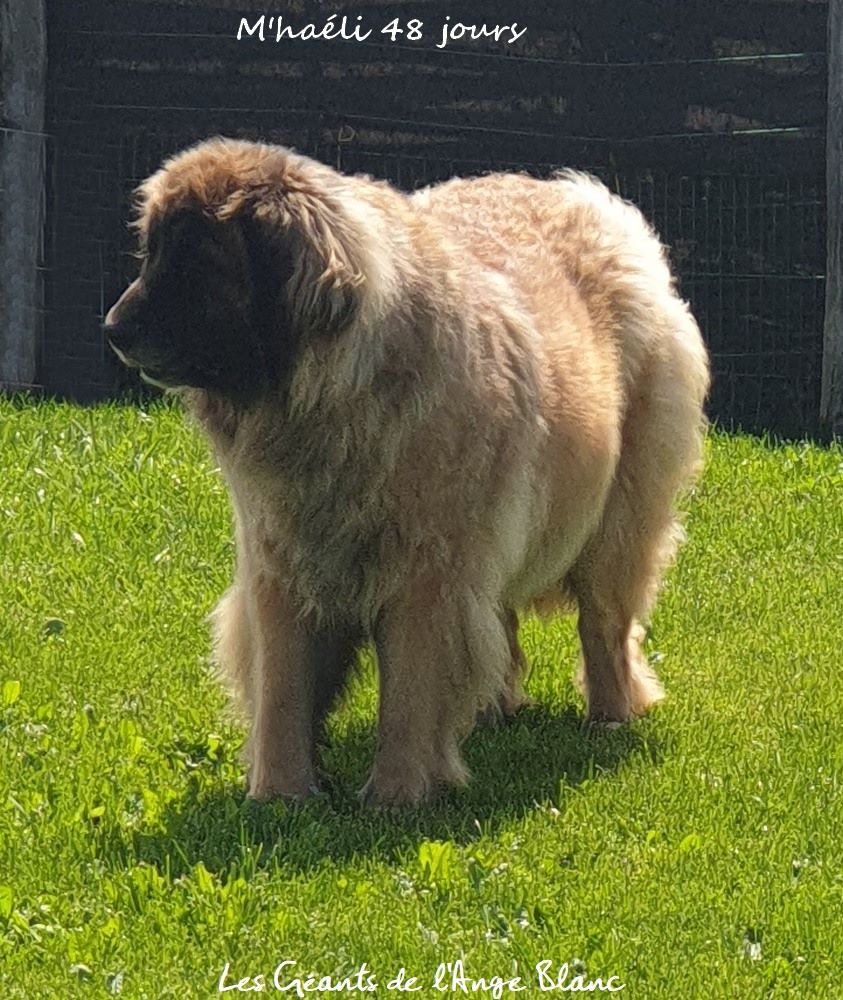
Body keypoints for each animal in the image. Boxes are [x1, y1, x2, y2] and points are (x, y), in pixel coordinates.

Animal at [107, 137, 712, 804]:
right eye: (152, 253)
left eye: (197, 261)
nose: (113, 329)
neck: (331, 395)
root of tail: (589, 198)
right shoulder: (280, 563)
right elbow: (283, 685)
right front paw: (280, 796)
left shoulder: (426, 574)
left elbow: (412, 689)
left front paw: (396, 795)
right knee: (501, 619)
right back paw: (497, 709)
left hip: (615, 525)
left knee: (603, 626)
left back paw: (608, 717)